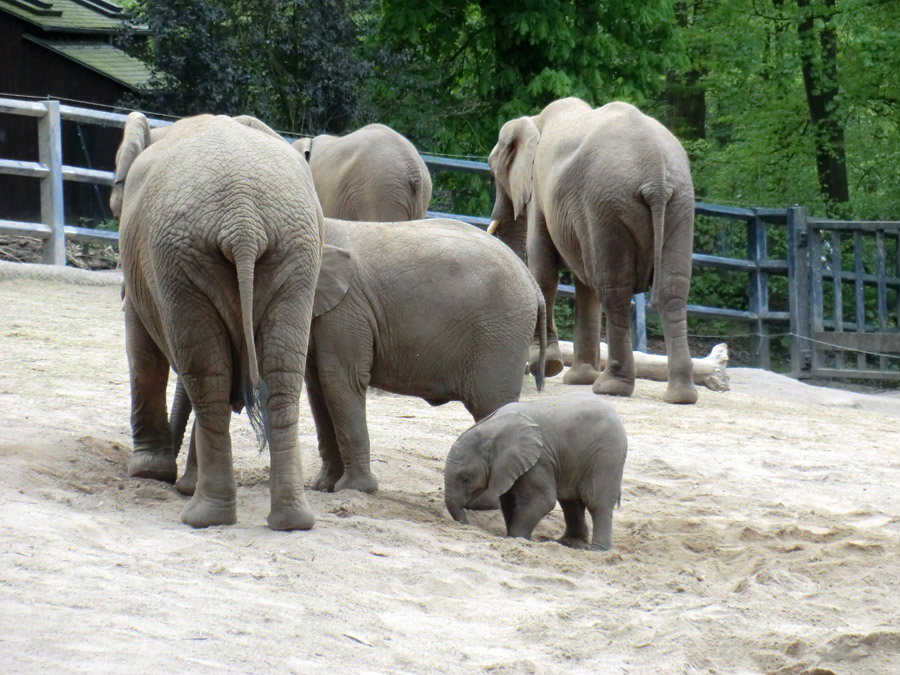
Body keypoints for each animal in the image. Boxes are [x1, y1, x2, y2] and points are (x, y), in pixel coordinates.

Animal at [111, 113, 338, 532]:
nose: (174, 482)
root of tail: (242, 221)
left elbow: (143, 351)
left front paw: (150, 473)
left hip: (180, 258)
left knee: (207, 378)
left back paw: (201, 515)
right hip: (294, 256)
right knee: (278, 377)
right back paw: (290, 521)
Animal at [172, 217, 544, 496]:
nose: (173, 482)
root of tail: (534, 284)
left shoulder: (346, 312)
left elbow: (341, 383)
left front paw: (354, 490)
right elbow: (319, 391)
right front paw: (323, 487)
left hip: (500, 338)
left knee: (493, 406)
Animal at [446, 394, 628, 552]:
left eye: (466, 479)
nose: (466, 525)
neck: (490, 429)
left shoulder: (538, 459)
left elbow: (542, 500)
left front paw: (517, 538)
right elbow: (509, 500)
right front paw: (514, 537)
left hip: (607, 455)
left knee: (595, 499)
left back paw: (597, 551)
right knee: (570, 500)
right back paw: (570, 544)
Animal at [488, 97, 700, 404]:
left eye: (492, 171)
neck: (535, 120)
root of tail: (657, 178)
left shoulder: (541, 189)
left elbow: (544, 269)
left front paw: (550, 366)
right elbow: (582, 281)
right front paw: (577, 378)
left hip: (608, 207)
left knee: (614, 290)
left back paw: (610, 387)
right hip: (680, 206)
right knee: (673, 291)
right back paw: (680, 395)